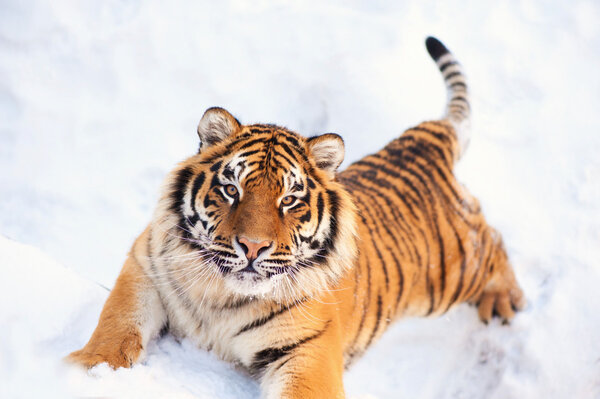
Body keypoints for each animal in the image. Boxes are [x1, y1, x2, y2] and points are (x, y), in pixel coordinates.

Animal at [67, 36, 524, 398]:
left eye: (288, 200)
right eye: (231, 190)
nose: (252, 247)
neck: (220, 297)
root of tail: (423, 141)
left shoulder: (307, 349)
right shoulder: (143, 269)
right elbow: (116, 325)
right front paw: (89, 371)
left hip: (451, 275)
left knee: (494, 242)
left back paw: (504, 303)